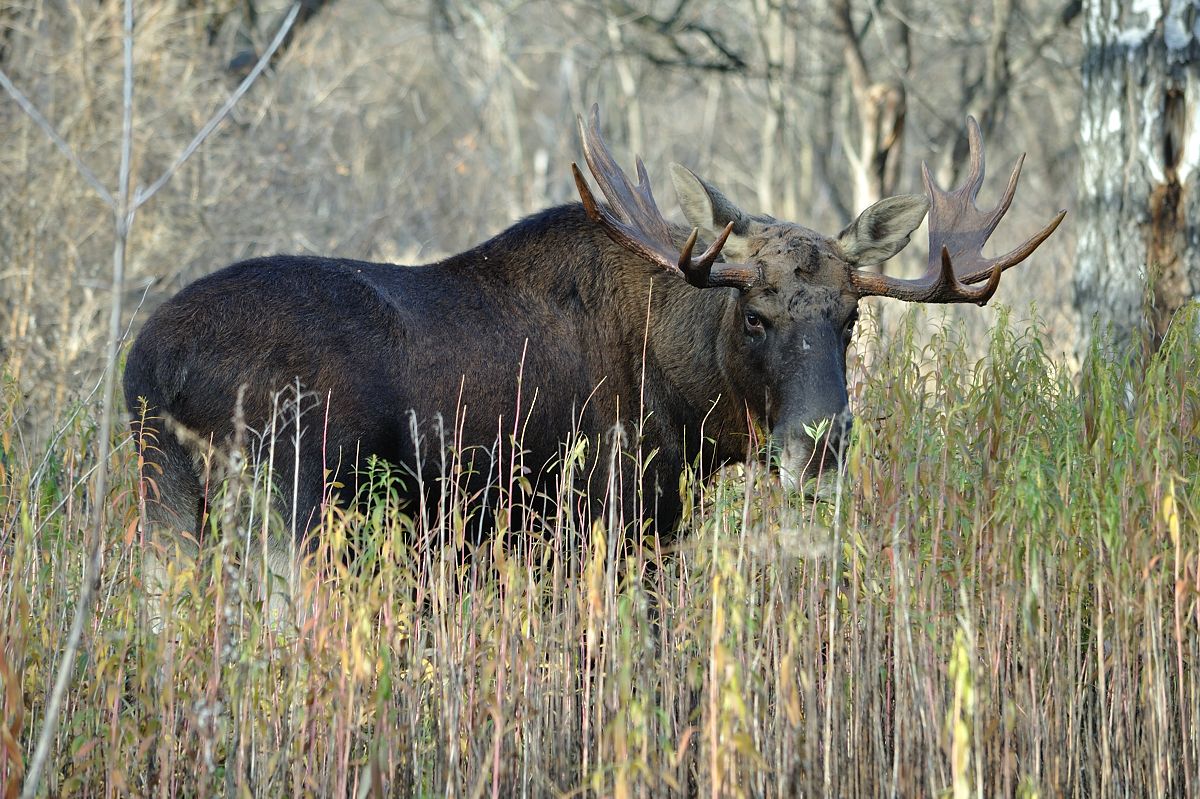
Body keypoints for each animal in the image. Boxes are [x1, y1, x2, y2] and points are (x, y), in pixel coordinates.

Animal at [121, 104, 1060, 542]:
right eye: (754, 315)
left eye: (852, 317)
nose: (820, 446)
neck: (688, 403)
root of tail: (150, 366)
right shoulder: (624, 509)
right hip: (298, 495)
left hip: (171, 502)